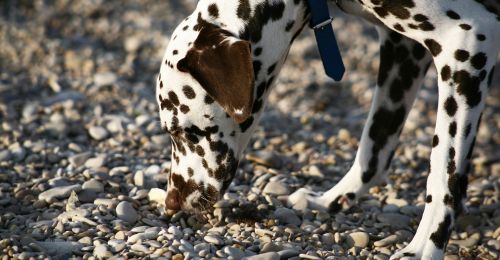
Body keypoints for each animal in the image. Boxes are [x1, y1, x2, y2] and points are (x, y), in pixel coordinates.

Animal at [156, 1, 496, 258]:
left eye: (185, 131)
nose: (171, 201)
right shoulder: (403, 51)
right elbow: (373, 145)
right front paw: (335, 198)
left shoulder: (466, 44)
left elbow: (442, 175)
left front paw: (425, 247)